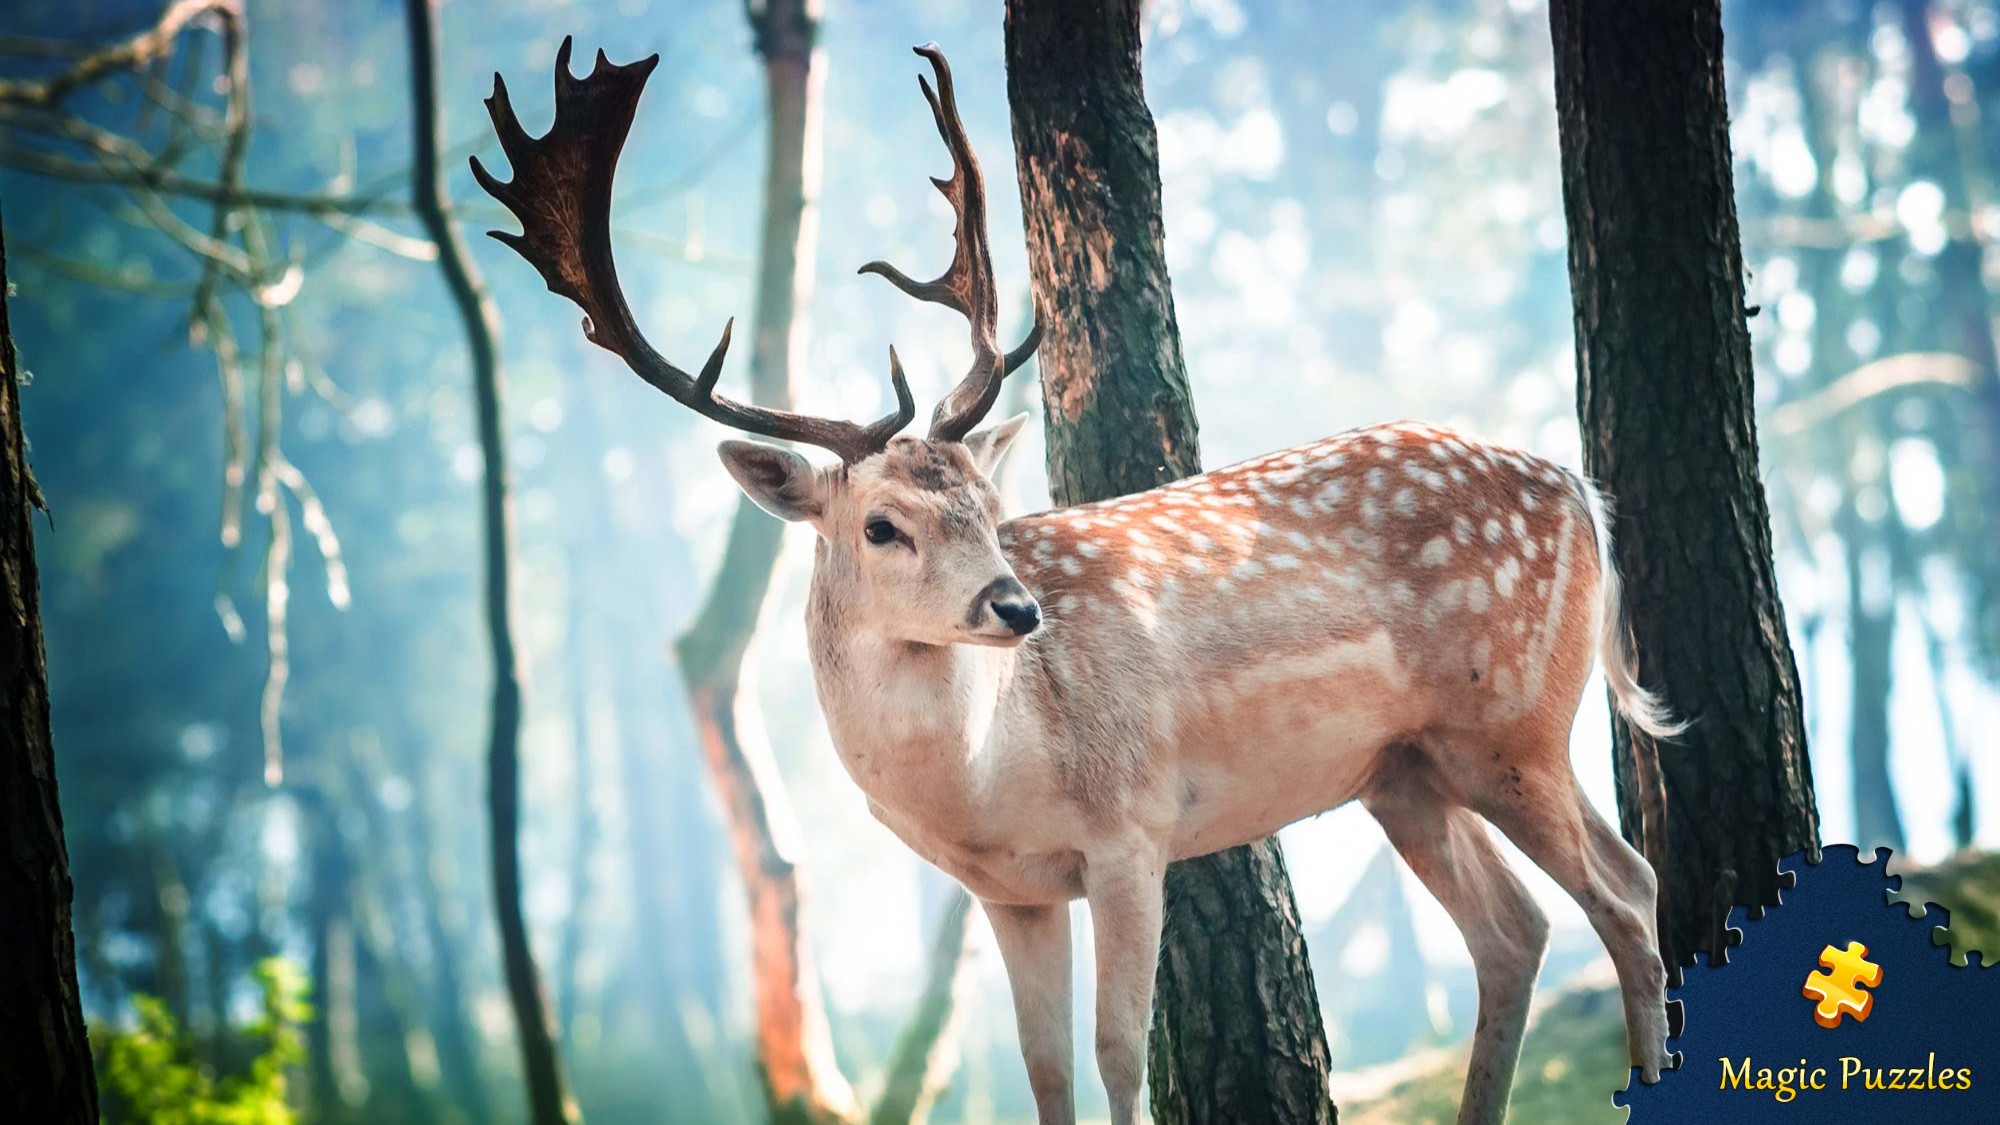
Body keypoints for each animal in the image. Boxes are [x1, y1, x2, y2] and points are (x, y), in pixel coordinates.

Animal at [476, 39, 1680, 1112]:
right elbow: (1045, 1069)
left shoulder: (1133, 826)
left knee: (1624, 891)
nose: (1015, 606)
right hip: (1407, 769)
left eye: (986, 500)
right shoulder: (1009, 890)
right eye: (880, 525)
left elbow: (1116, 1054)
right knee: (1516, 930)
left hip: (1511, 718)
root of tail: (1581, 489)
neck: (986, 781)